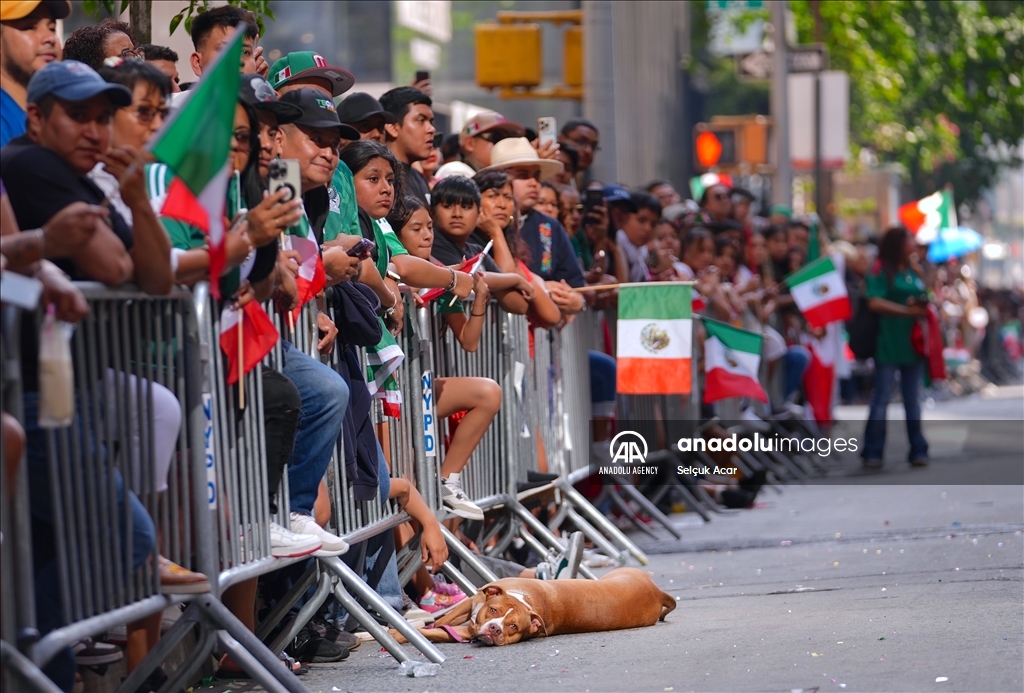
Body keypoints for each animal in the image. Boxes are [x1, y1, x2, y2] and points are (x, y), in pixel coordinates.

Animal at [389, 565, 671, 646]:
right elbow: (441, 622)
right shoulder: (470, 602)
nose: (495, 628)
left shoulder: (466, 630)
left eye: (513, 626)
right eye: (493, 611)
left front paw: (398, 633)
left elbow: (434, 630)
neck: (524, 599)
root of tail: (657, 592)